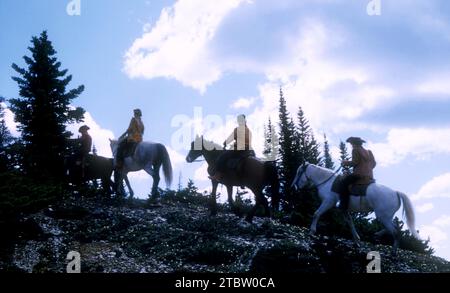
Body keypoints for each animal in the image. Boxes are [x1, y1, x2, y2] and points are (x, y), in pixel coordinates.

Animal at [290, 162, 420, 249]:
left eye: (299, 172)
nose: (293, 187)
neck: (327, 182)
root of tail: (396, 192)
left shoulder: (328, 202)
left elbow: (316, 213)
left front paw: (312, 231)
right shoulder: (343, 209)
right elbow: (350, 222)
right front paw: (357, 239)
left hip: (383, 216)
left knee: (394, 231)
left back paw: (393, 249)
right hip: (386, 216)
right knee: (395, 228)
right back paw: (377, 235)